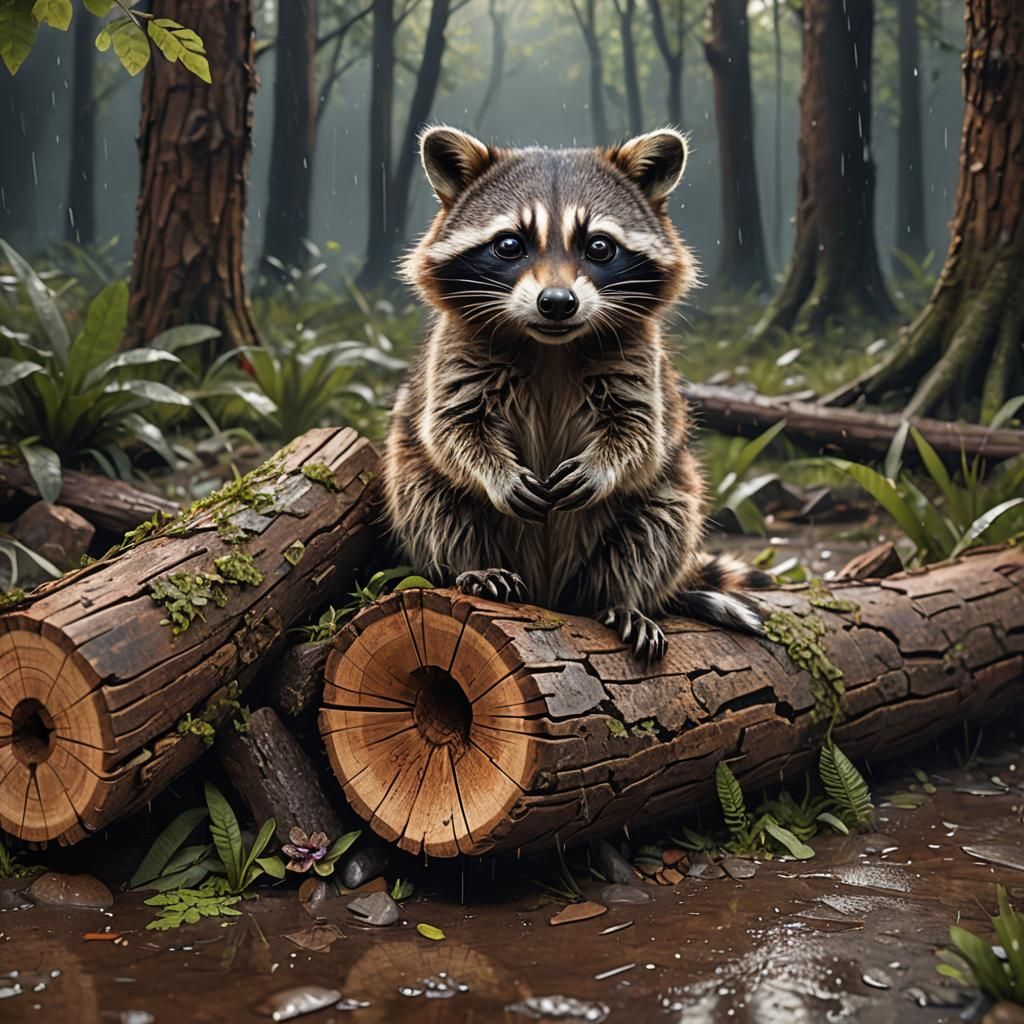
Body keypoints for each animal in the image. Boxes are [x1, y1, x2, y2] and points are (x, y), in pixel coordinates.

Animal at [383, 125, 768, 662]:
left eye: (599, 246)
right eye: (509, 244)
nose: (557, 303)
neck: (552, 347)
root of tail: (550, 592)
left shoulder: (639, 360)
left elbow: (640, 434)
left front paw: (604, 465)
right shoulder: (455, 353)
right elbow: (452, 429)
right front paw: (496, 474)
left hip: (667, 494)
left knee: (659, 523)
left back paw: (620, 598)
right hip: (415, 477)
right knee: (431, 501)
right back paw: (471, 566)